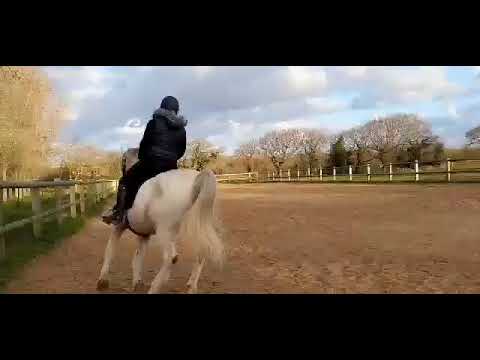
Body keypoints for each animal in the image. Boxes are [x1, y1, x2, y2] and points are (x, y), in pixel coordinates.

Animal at [98, 148, 226, 294]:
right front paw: (137, 282)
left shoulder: (119, 226)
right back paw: (191, 286)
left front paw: (102, 281)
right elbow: (138, 257)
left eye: (123, 162)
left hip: (165, 230)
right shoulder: (144, 235)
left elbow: (110, 251)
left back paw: (154, 288)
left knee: (170, 257)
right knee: (201, 252)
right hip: (198, 226)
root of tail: (196, 178)